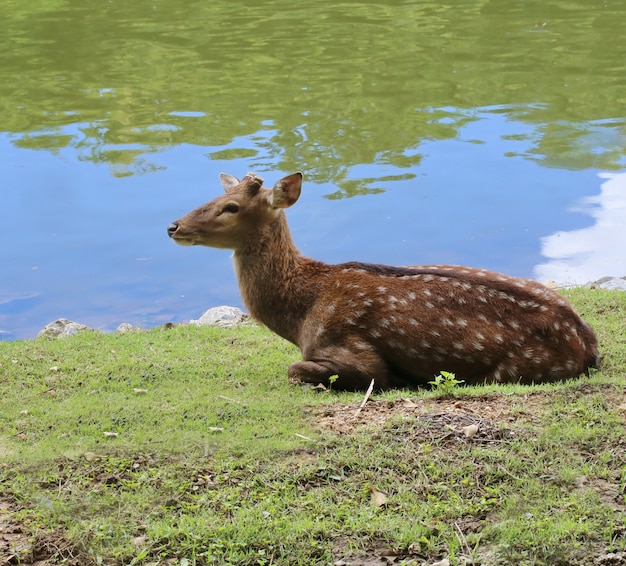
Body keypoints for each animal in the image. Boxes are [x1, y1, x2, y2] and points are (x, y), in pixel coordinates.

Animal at [168, 171, 596, 390]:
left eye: (231, 207)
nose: (173, 226)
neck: (301, 314)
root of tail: (587, 343)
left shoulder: (350, 351)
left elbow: (297, 369)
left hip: (518, 368)